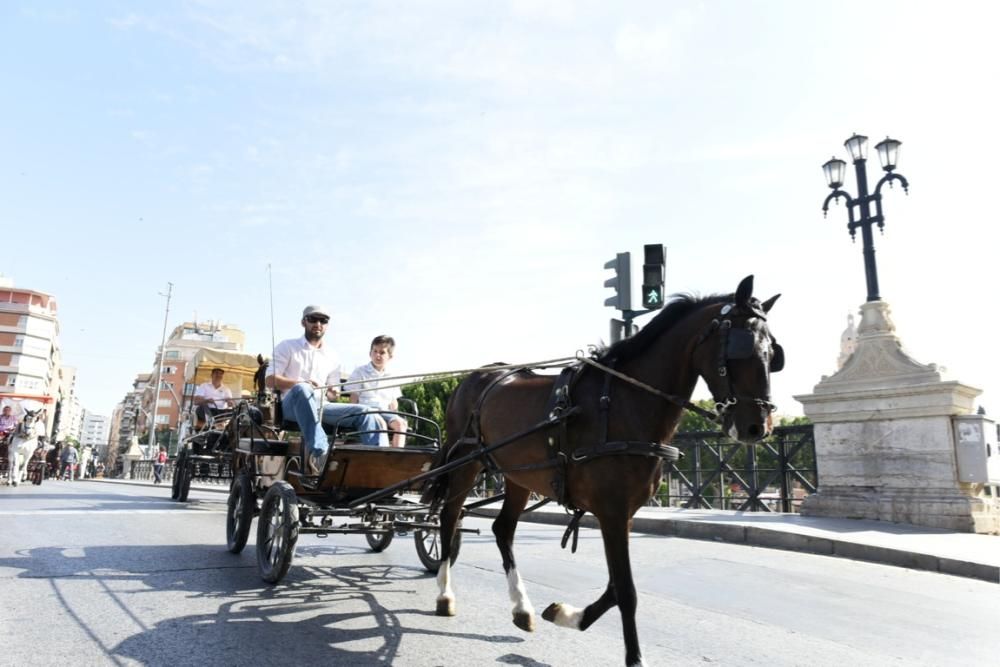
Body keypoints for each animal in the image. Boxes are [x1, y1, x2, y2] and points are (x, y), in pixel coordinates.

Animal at [422, 274, 780, 664]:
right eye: (742, 349)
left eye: (772, 354)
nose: (757, 427)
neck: (625, 404)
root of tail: (474, 377)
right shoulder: (611, 510)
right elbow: (625, 590)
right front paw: (634, 657)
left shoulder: (623, 514)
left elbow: (613, 587)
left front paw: (565, 614)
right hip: (466, 463)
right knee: (448, 519)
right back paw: (444, 593)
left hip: (519, 474)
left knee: (502, 529)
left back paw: (521, 607)